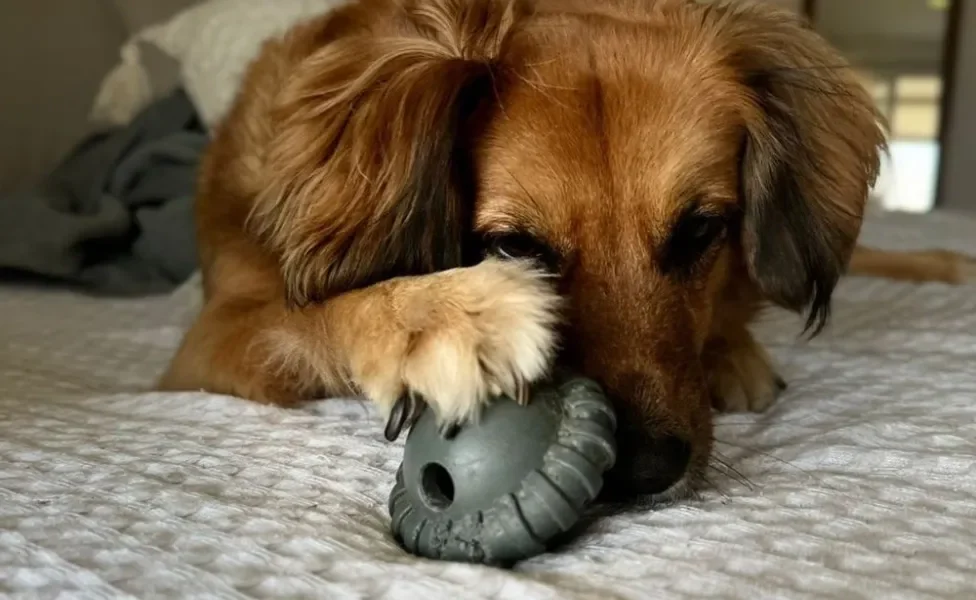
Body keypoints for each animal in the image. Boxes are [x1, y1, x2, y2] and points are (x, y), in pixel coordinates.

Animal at [156, 0, 972, 496]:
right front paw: (443, 319)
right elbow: (318, 309)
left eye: (699, 230)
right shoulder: (216, 334)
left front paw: (732, 350)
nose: (644, 470)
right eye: (513, 247)